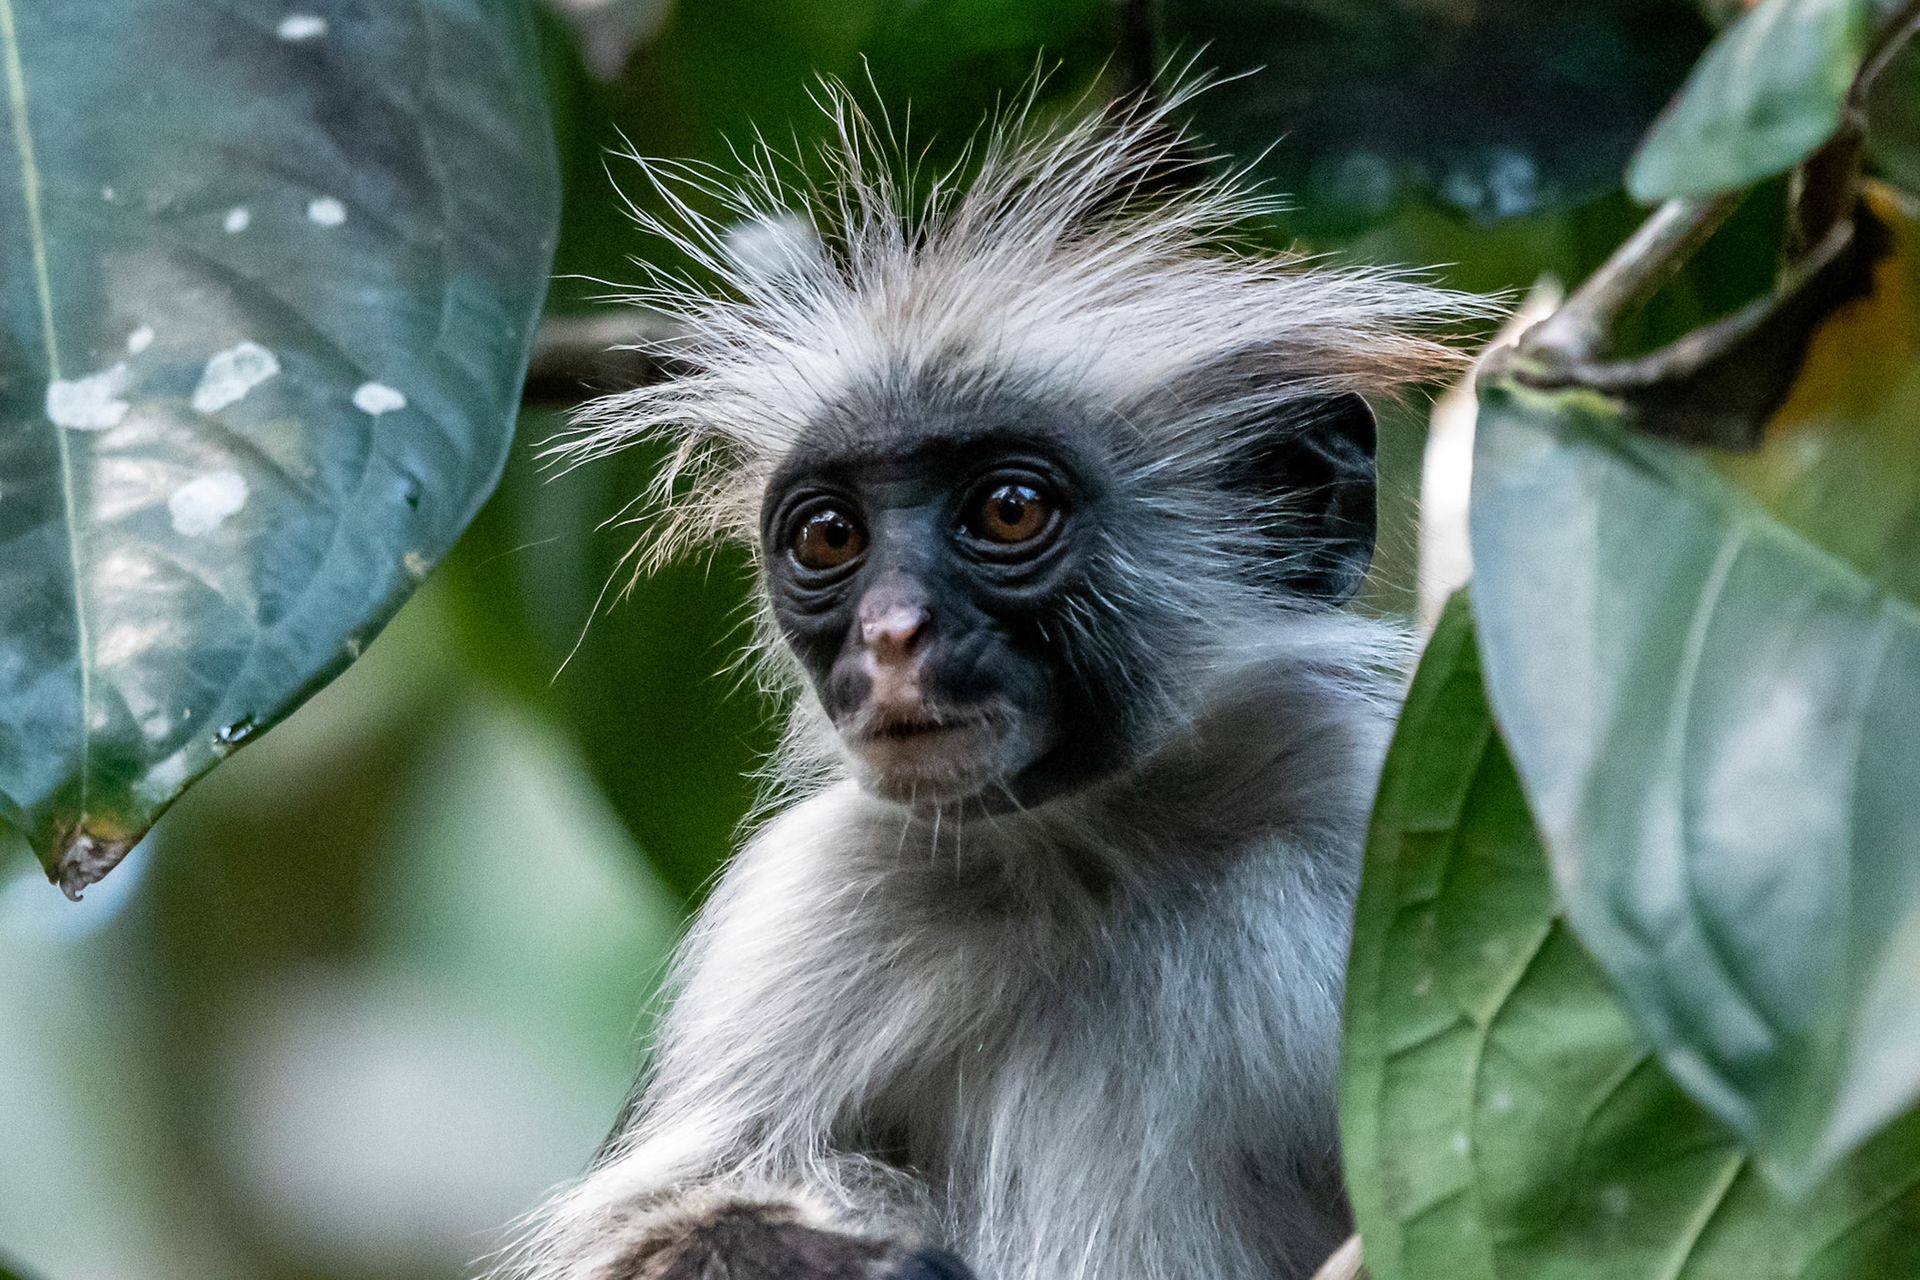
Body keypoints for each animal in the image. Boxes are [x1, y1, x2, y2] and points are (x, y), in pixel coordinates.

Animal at [499, 82, 1484, 1280]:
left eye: (1009, 512)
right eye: (830, 535)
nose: (889, 635)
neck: (1109, 852)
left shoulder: (1364, 806)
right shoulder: (808, 902)